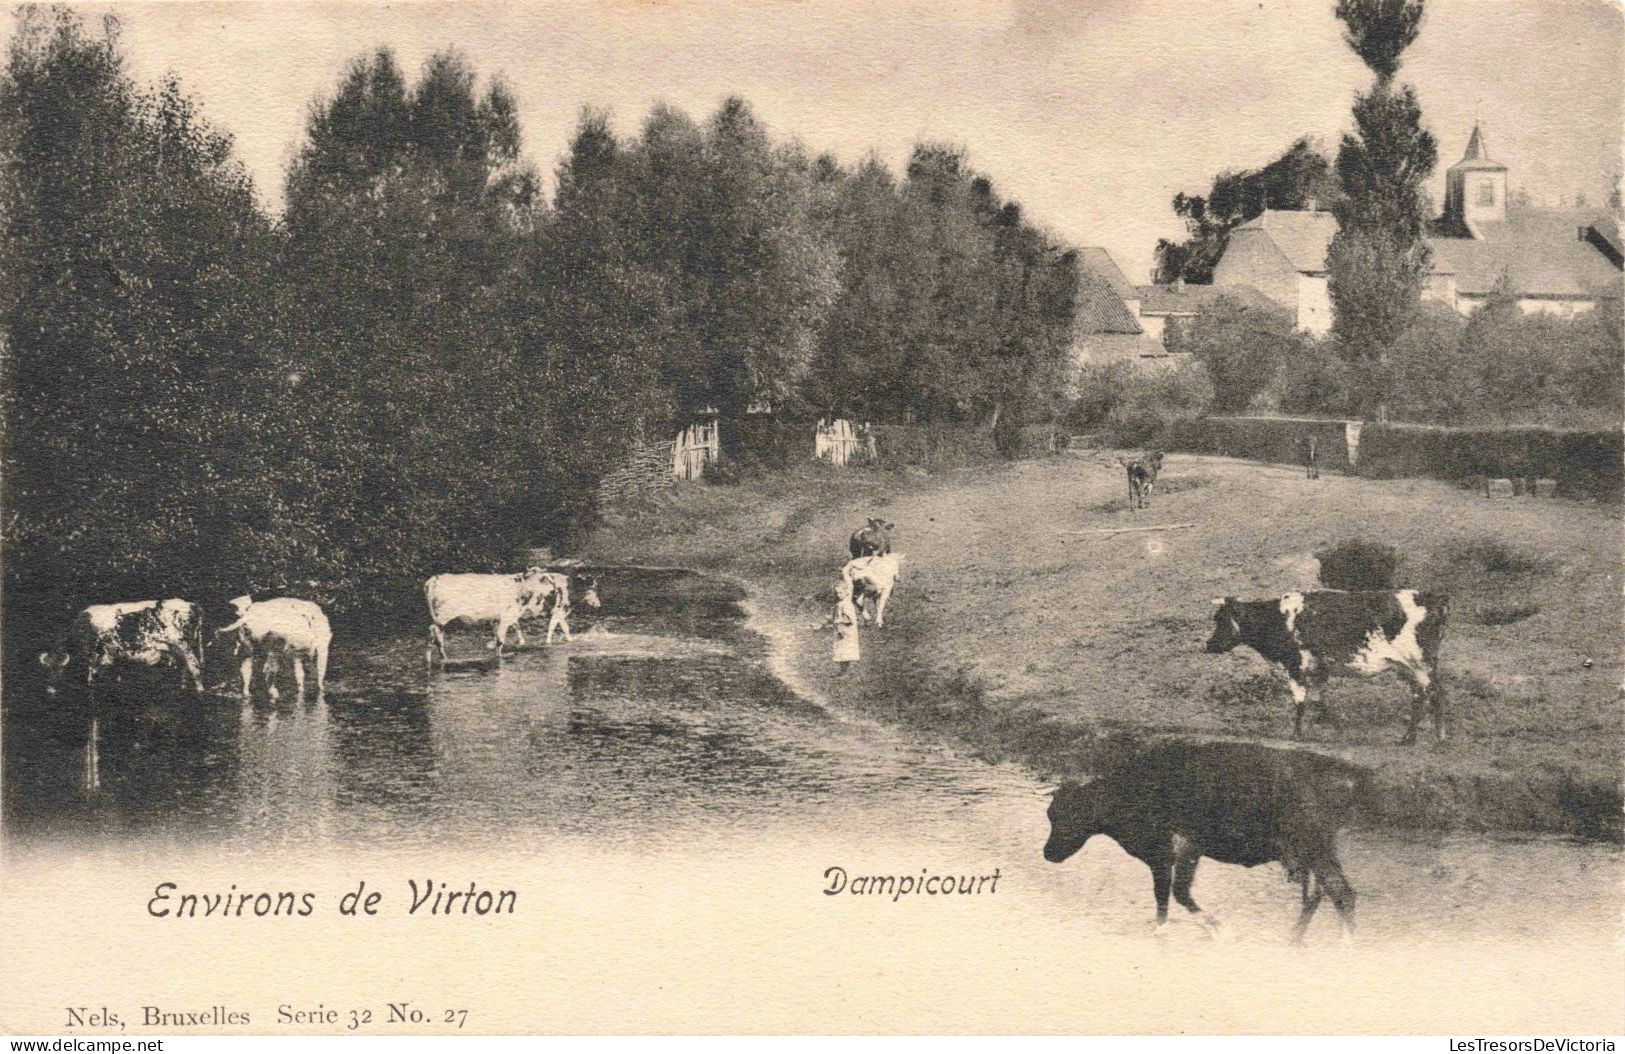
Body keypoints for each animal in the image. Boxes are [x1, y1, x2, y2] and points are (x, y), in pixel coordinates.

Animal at [38, 597, 206, 695]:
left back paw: (200, 691)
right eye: (48, 667)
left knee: (195, 667)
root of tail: (192, 605)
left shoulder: (94, 654)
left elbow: (91, 675)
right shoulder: (112, 655)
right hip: (177, 649)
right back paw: (182, 688)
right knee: (184, 667)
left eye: (59, 668)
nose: (49, 690)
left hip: (185, 646)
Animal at [1040, 737, 1358, 941]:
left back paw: (1346, 945)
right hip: (1306, 854)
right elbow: (1162, 896)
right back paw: (1294, 938)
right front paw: (1163, 929)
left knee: (1342, 893)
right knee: (1317, 895)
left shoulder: (1183, 848)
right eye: (1050, 814)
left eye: (1067, 816)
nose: (1047, 853)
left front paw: (1216, 927)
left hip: (1314, 848)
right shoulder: (1162, 856)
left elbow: (1177, 892)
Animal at [1209, 587, 1449, 743]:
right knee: (1419, 696)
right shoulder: (1319, 668)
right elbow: (1318, 699)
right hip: (1409, 668)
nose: (1208, 645)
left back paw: (1440, 737)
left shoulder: (1295, 664)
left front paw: (1297, 735)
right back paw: (1409, 737)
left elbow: (1300, 700)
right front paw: (1336, 728)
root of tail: (1431, 598)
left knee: (1435, 692)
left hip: (1420, 663)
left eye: (1220, 619)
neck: (1279, 618)